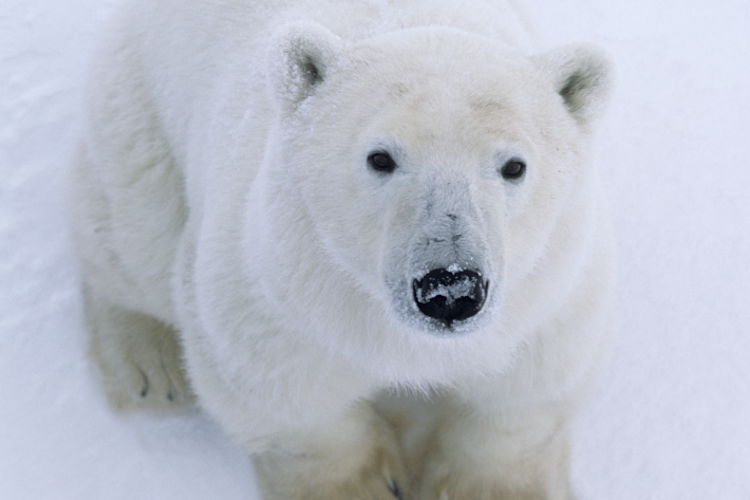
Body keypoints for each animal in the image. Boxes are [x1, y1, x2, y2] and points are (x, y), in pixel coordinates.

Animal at [66, 0, 616, 499]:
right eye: (381, 158)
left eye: (514, 165)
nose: (450, 288)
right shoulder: (277, 281)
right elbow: (286, 400)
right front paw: (365, 485)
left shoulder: (548, 289)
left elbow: (525, 395)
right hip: (136, 112)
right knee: (133, 237)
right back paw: (150, 368)